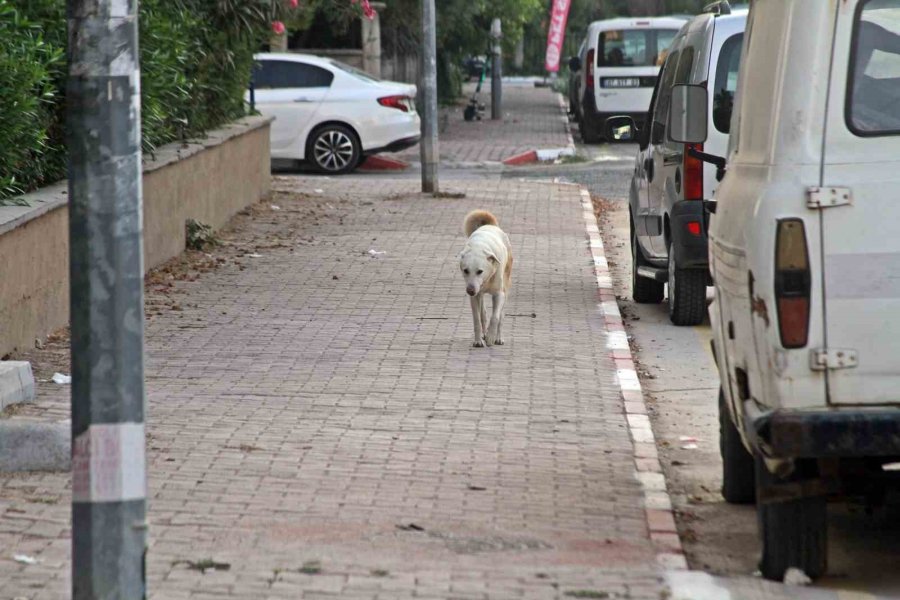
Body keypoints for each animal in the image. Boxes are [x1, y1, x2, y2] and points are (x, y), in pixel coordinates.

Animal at [458, 210, 512, 346]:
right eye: (466, 271)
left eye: (480, 271)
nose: (470, 290)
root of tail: (490, 225)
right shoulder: (474, 297)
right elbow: (476, 318)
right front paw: (478, 341)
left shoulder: (499, 294)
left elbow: (495, 317)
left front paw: (491, 337)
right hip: (479, 294)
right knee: (483, 312)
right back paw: (483, 333)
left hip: (506, 286)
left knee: (501, 315)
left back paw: (498, 338)